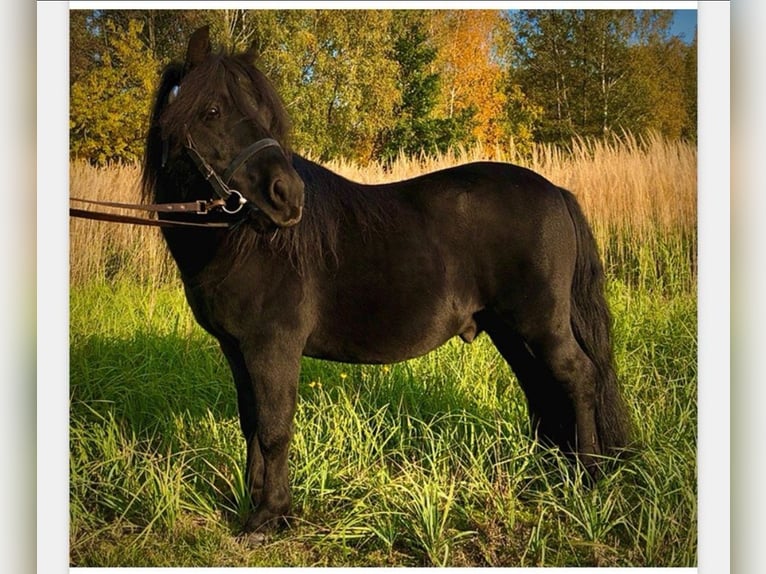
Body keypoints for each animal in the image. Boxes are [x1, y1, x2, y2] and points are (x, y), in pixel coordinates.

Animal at [141, 27, 632, 536]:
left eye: (264, 114)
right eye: (212, 111)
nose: (287, 195)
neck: (244, 241)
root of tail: (555, 192)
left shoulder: (272, 346)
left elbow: (275, 428)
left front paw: (271, 514)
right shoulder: (236, 348)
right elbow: (252, 423)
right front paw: (254, 504)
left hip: (541, 325)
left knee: (577, 377)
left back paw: (589, 475)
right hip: (510, 331)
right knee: (540, 385)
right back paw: (550, 469)